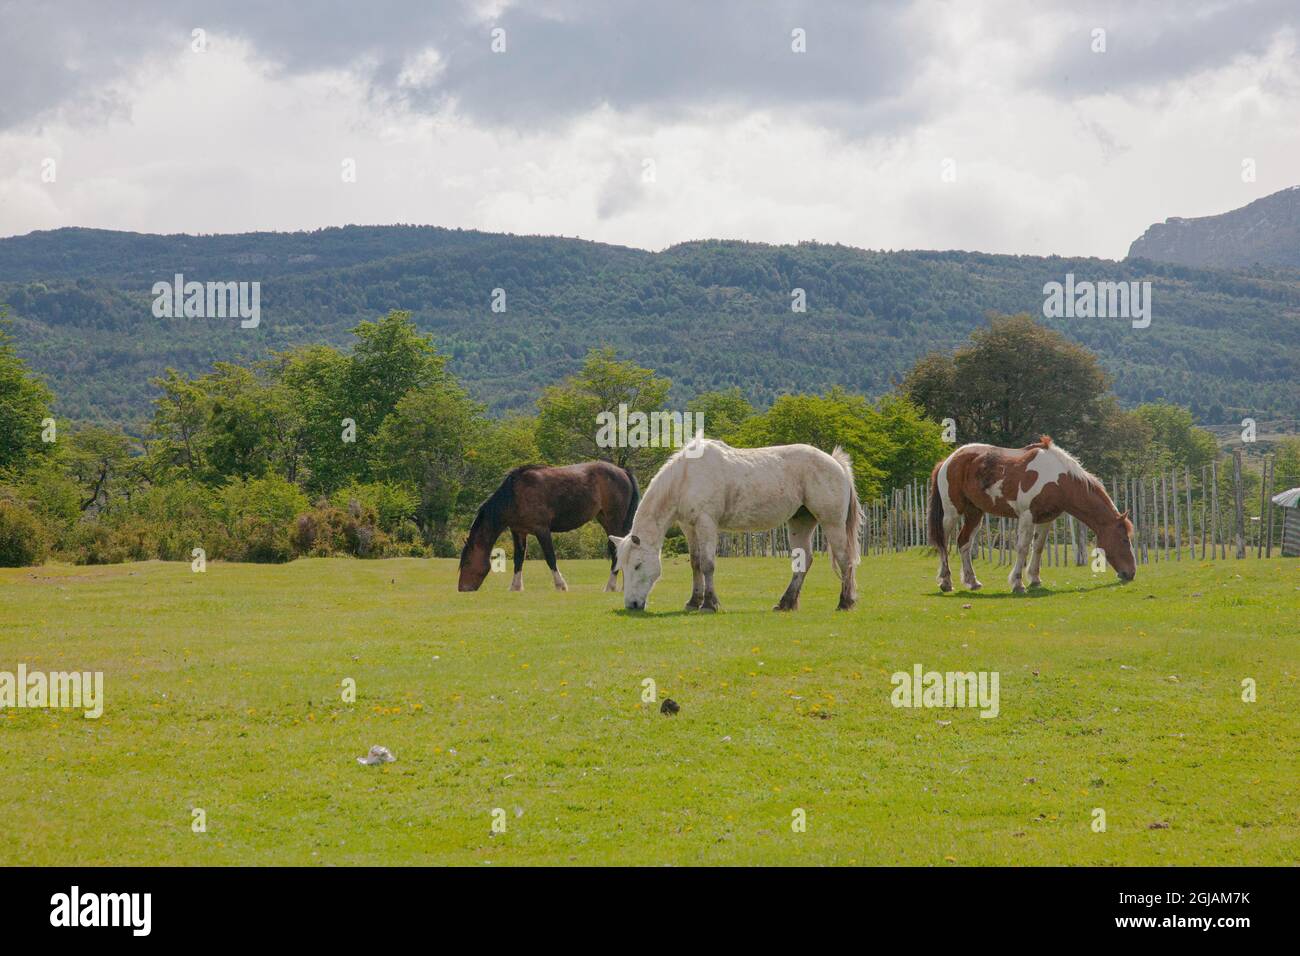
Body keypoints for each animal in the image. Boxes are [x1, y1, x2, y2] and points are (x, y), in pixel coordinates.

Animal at [458, 460, 639, 592]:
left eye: (466, 562)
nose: (462, 588)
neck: (514, 495)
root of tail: (623, 471)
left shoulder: (542, 530)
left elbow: (550, 557)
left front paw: (561, 585)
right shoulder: (519, 532)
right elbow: (518, 559)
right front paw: (515, 587)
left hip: (614, 521)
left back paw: (610, 586)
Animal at [608, 438, 861, 612]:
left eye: (638, 565)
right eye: (622, 567)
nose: (631, 604)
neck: (686, 477)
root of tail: (835, 462)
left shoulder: (706, 524)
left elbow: (708, 564)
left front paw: (709, 604)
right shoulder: (689, 527)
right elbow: (695, 564)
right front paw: (693, 601)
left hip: (832, 523)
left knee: (844, 559)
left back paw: (845, 602)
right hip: (800, 522)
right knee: (804, 561)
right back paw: (786, 603)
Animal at [927, 436, 1136, 593]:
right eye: (1124, 539)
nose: (1131, 573)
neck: (1058, 479)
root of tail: (948, 461)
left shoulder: (1046, 519)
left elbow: (1038, 547)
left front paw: (1035, 579)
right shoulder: (1027, 516)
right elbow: (1023, 548)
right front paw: (1018, 583)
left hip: (974, 513)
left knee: (964, 543)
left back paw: (972, 581)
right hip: (952, 513)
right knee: (944, 543)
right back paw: (946, 582)